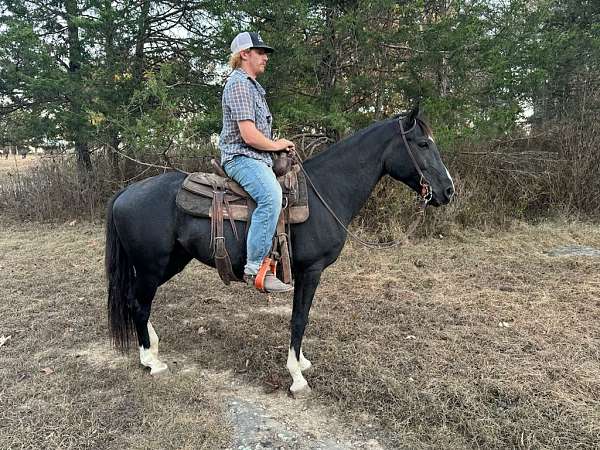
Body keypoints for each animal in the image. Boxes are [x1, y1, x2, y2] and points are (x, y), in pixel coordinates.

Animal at [106, 107, 454, 396]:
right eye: (423, 144)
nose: (448, 191)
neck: (325, 192)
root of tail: (126, 192)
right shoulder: (311, 270)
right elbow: (299, 319)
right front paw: (297, 377)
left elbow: (302, 318)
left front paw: (301, 362)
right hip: (152, 265)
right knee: (139, 303)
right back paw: (152, 362)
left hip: (170, 262)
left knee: (136, 300)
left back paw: (152, 350)